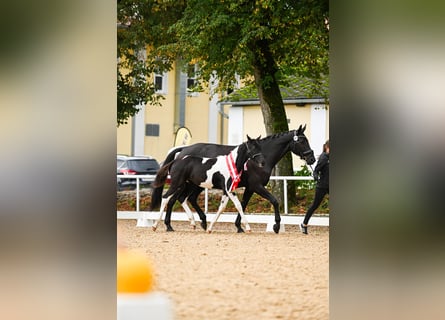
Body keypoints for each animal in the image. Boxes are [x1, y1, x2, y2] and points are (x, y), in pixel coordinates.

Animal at [151, 124, 314, 232]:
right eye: (302, 141)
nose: (311, 158)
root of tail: (183, 150)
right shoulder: (256, 186)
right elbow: (274, 201)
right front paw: (276, 225)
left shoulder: (248, 188)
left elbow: (243, 204)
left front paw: (239, 226)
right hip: (185, 184)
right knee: (173, 199)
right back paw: (169, 225)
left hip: (194, 184)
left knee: (184, 198)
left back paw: (199, 222)